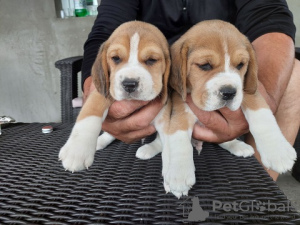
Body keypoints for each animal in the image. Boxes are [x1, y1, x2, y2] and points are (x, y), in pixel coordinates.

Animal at [59, 21, 171, 172]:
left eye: (151, 60)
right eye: (116, 58)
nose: (129, 84)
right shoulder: (103, 92)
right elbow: (90, 113)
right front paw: (77, 151)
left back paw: (149, 148)